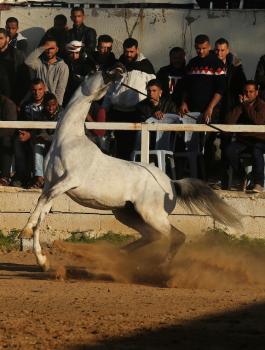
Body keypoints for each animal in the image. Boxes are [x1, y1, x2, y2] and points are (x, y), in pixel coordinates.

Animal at [20, 67, 239, 270]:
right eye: (99, 72)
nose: (118, 70)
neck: (68, 141)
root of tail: (171, 183)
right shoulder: (52, 183)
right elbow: (42, 212)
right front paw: (42, 260)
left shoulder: (69, 181)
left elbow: (42, 202)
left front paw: (26, 233)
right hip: (127, 213)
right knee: (152, 236)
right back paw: (120, 255)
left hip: (152, 214)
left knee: (176, 236)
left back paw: (161, 268)